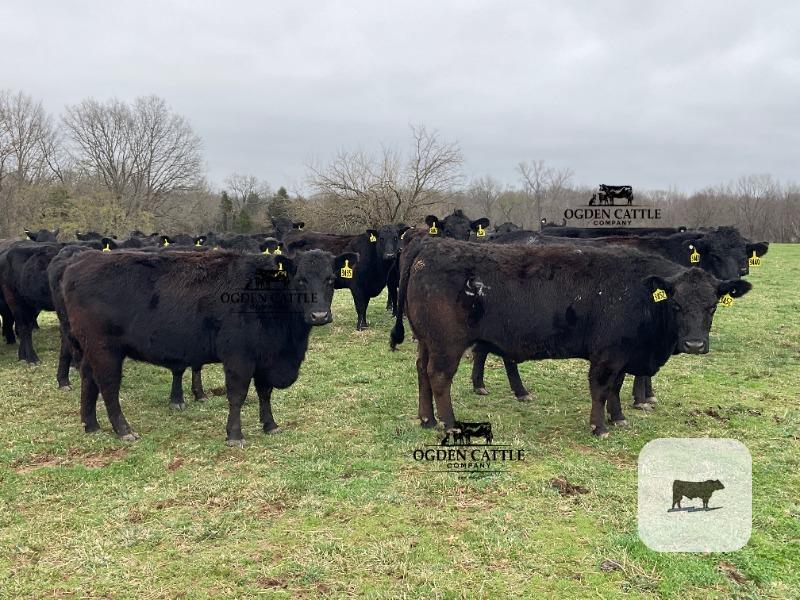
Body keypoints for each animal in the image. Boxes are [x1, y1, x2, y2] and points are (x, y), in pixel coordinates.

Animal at [60, 249, 357, 444]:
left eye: (331, 279)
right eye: (300, 279)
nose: (319, 315)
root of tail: (80, 262)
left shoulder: (265, 357)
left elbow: (265, 393)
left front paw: (270, 424)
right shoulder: (239, 357)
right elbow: (237, 395)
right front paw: (235, 435)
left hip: (91, 350)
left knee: (88, 380)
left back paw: (91, 424)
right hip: (105, 350)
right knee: (108, 387)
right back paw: (124, 430)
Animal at [390, 238, 751, 438]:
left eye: (712, 305)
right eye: (676, 304)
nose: (695, 344)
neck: (639, 293)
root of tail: (428, 246)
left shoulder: (622, 355)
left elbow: (616, 388)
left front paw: (619, 418)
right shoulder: (607, 356)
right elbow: (601, 389)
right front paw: (599, 427)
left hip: (427, 342)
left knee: (422, 372)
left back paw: (427, 419)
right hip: (446, 345)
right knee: (438, 378)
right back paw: (449, 423)